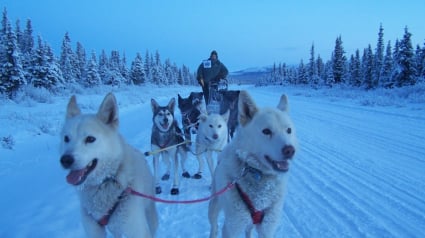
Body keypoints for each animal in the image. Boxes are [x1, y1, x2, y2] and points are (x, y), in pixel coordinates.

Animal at [59, 93, 157, 238]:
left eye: (90, 139)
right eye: (66, 138)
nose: (65, 160)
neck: (105, 182)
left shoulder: (137, 231)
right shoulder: (94, 232)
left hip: (149, 212)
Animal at [208, 90, 294, 237]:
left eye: (288, 130)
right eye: (266, 131)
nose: (290, 150)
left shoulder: (267, 230)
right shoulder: (232, 227)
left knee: (248, 230)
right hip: (214, 206)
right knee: (214, 227)